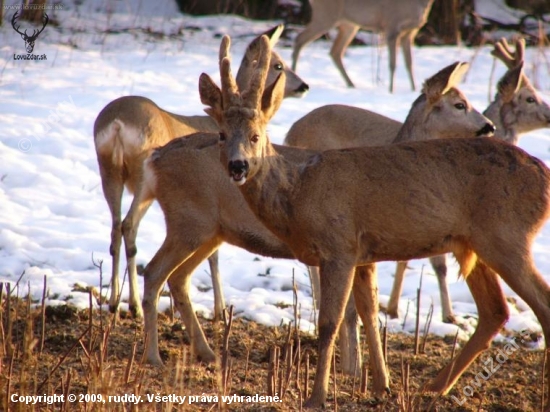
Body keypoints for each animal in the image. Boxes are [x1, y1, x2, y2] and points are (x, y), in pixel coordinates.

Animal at [92, 25, 308, 318]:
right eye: (279, 64)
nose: (304, 86)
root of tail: (116, 124)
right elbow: (214, 256)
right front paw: (219, 308)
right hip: (142, 180)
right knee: (129, 225)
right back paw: (134, 304)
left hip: (108, 172)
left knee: (115, 227)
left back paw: (114, 301)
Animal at [199, 33, 550, 408]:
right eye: (221, 134)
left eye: (256, 135)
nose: (238, 166)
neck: (299, 194)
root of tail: (543, 176)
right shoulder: (363, 255)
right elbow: (369, 312)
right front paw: (383, 386)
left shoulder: (339, 247)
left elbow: (329, 321)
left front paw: (317, 396)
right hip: (473, 243)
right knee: (495, 311)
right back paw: (433, 387)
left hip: (507, 236)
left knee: (539, 304)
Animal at [292, 0, 438, 91]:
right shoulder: (392, 26)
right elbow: (393, 64)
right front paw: (391, 90)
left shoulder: (410, 33)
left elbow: (409, 63)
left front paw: (414, 89)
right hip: (325, 16)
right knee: (299, 38)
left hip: (348, 24)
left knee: (335, 51)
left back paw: (351, 84)